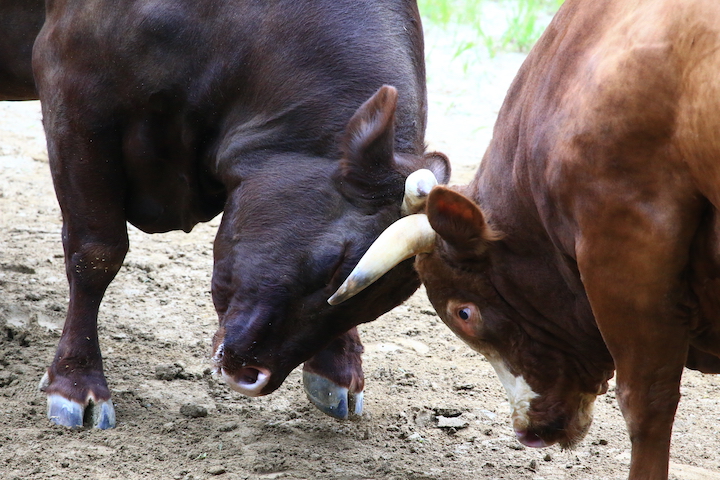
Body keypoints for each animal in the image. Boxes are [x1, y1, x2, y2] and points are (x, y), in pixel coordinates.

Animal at [35, 0, 450, 428]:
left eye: (377, 304)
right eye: (331, 265)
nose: (253, 376)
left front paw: (338, 368)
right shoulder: (72, 88)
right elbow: (97, 253)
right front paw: (76, 381)